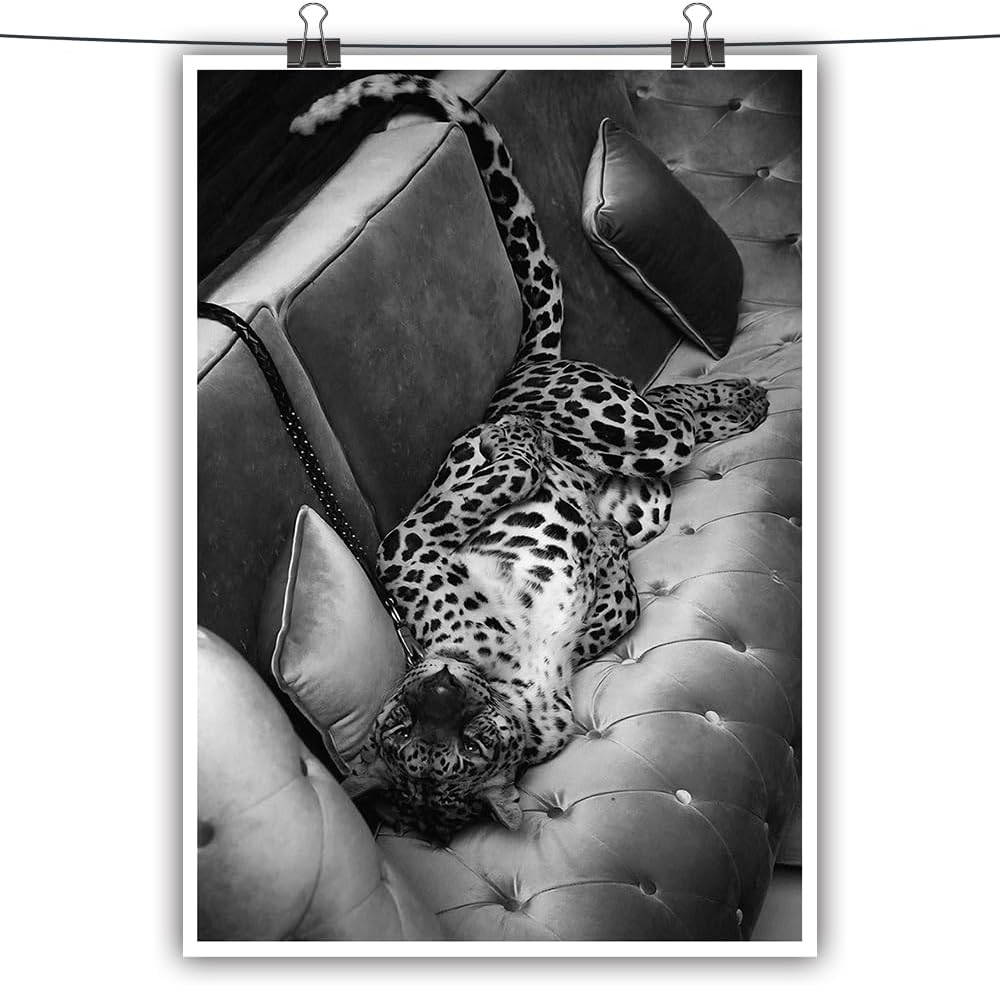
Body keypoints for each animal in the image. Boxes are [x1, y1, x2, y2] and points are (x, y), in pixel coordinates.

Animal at [290, 73, 768, 843]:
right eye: (412, 737)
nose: (440, 684)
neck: (506, 679)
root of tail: (523, 368)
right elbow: (614, 601)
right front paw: (599, 555)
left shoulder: (405, 546)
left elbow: (508, 473)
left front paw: (517, 446)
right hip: (643, 492)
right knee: (675, 423)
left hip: (616, 418)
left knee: (670, 411)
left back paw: (733, 398)